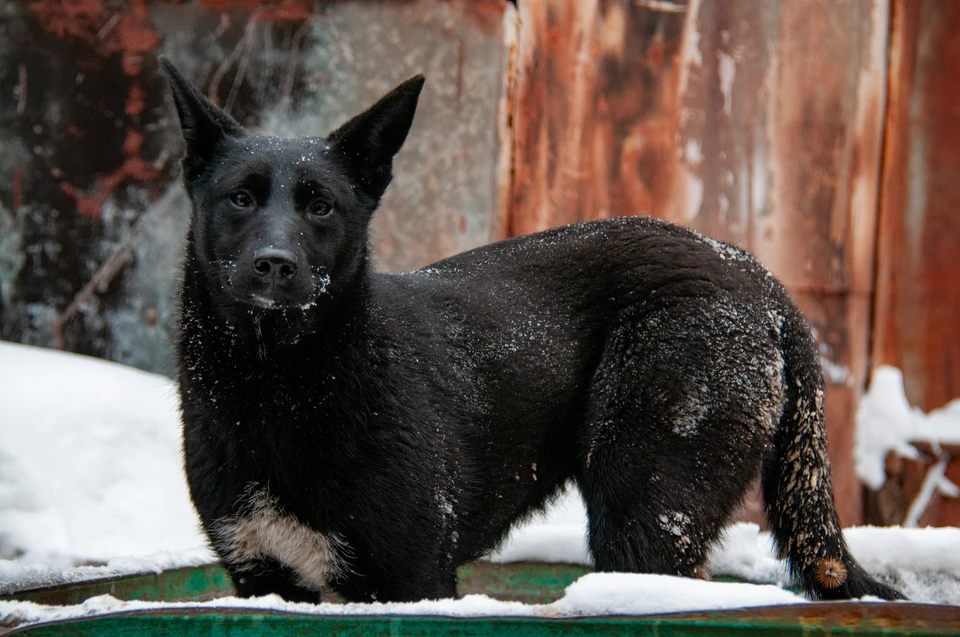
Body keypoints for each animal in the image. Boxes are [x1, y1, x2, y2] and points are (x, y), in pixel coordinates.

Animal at [161, 59, 904, 600]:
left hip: (645, 504)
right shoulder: (264, 579)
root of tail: (754, 273)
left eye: (321, 207)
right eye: (240, 198)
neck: (280, 385)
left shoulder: (416, 579)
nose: (274, 264)